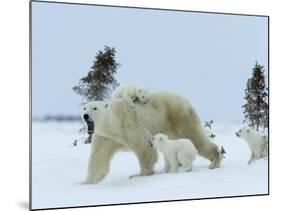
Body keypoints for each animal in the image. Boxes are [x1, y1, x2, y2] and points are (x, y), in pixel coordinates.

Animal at [81, 91, 221, 184]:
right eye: (84, 107)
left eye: (95, 108)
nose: (85, 116)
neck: (114, 123)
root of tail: (185, 100)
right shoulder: (105, 137)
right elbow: (98, 157)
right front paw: (85, 182)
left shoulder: (130, 124)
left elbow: (144, 146)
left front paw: (140, 175)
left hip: (179, 117)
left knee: (195, 137)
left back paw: (214, 161)